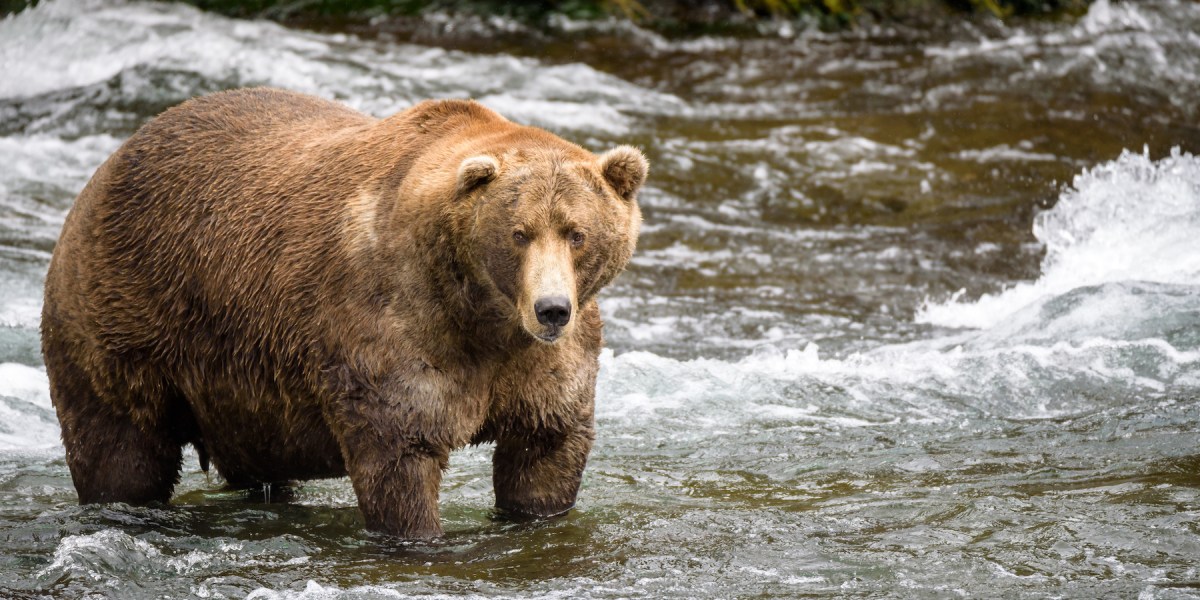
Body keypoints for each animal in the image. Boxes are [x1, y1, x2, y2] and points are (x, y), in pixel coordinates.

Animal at [40, 87, 647, 539]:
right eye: (519, 233)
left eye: (577, 233)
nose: (552, 310)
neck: (483, 316)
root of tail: (108, 166)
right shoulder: (395, 325)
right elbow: (400, 455)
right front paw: (418, 534)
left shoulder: (544, 366)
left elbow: (545, 451)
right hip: (125, 316)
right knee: (121, 448)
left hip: (238, 386)